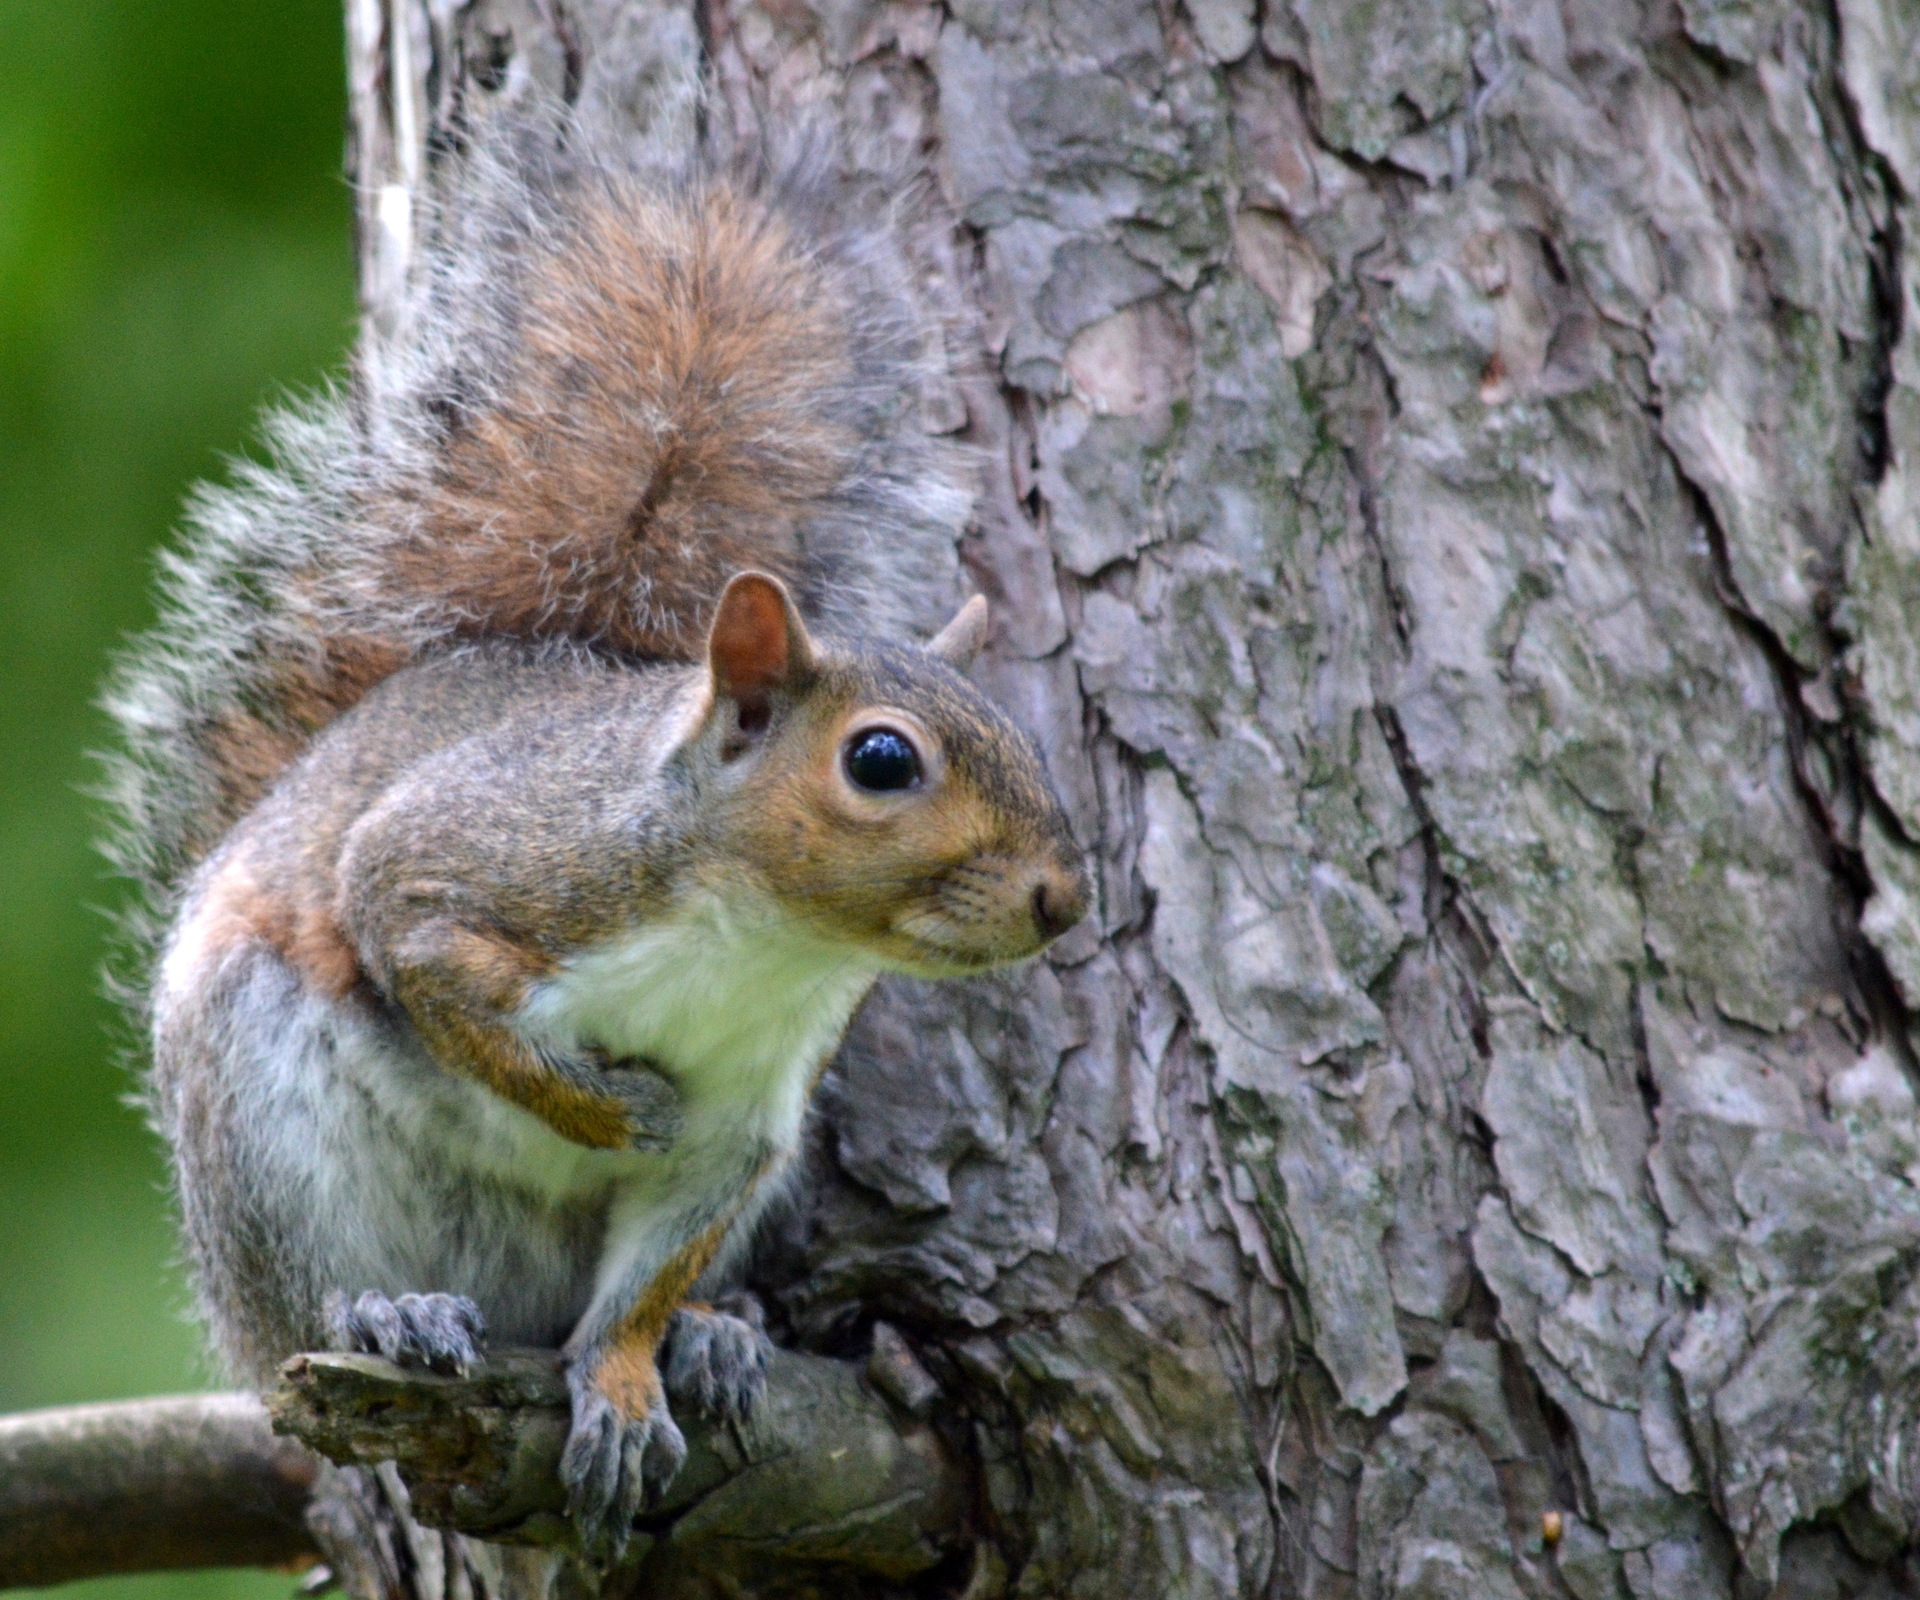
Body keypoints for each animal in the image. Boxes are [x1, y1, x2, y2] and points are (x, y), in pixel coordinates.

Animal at [101, 113, 1088, 1560]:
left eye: (1031, 738)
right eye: (882, 760)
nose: (1063, 898)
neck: (763, 942)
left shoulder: (749, 1119)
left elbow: (647, 1271)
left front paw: (625, 1377)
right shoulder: (479, 865)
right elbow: (434, 968)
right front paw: (605, 1104)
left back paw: (716, 1333)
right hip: (258, 1116)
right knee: (303, 1294)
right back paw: (384, 1308)